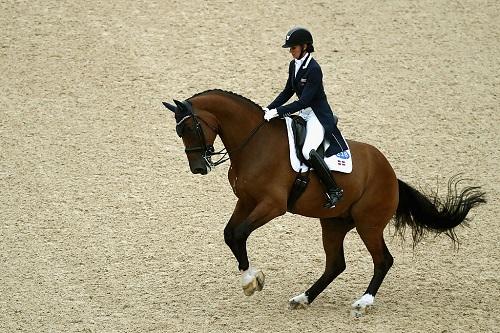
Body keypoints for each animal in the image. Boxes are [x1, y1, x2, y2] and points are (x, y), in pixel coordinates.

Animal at [162, 87, 486, 314]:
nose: (199, 168)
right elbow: (230, 235)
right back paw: (303, 298)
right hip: (333, 223)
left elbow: (240, 234)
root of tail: (391, 174)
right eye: (179, 131)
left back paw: (363, 302)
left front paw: (253, 280)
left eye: (189, 128)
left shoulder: (272, 206)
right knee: (335, 264)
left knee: (383, 260)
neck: (254, 142)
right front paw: (250, 279)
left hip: (368, 224)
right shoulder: (246, 201)